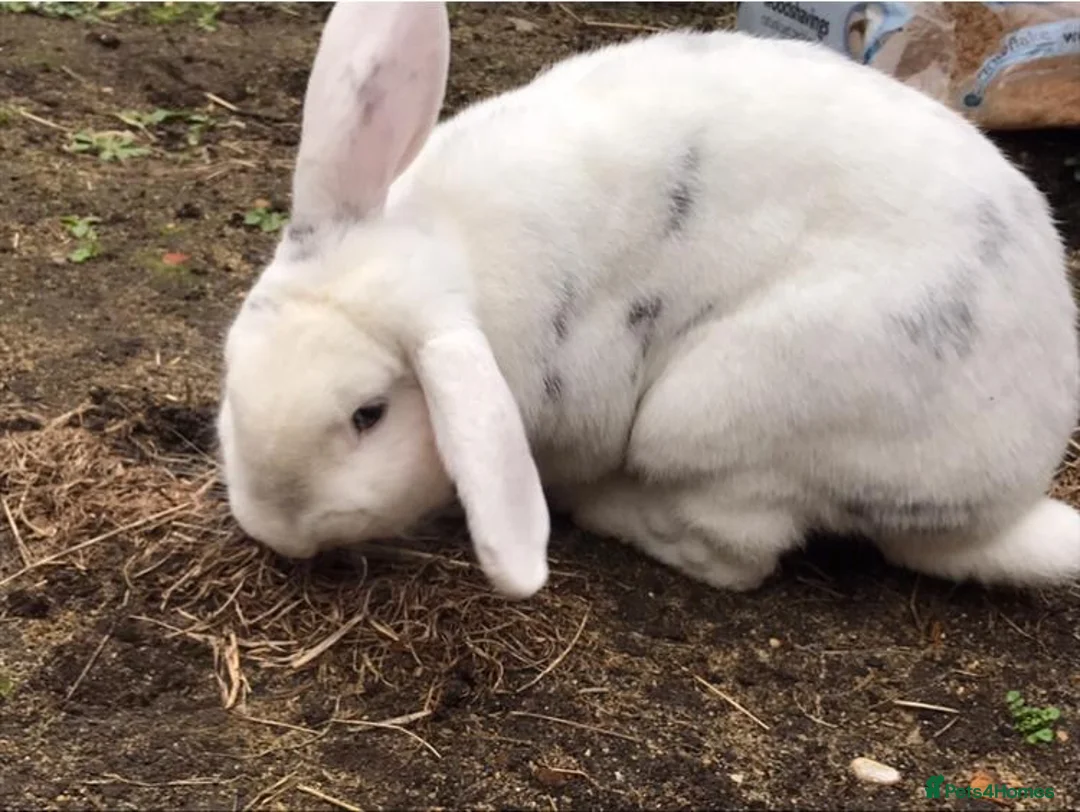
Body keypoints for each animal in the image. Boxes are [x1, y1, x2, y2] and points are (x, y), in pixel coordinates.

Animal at [216, 1, 1080, 601]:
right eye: (230, 372)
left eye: (368, 415)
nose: (280, 534)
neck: (453, 248)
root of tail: (1001, 504)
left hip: (727, 410)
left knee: (735, 552)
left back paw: (607, 508)